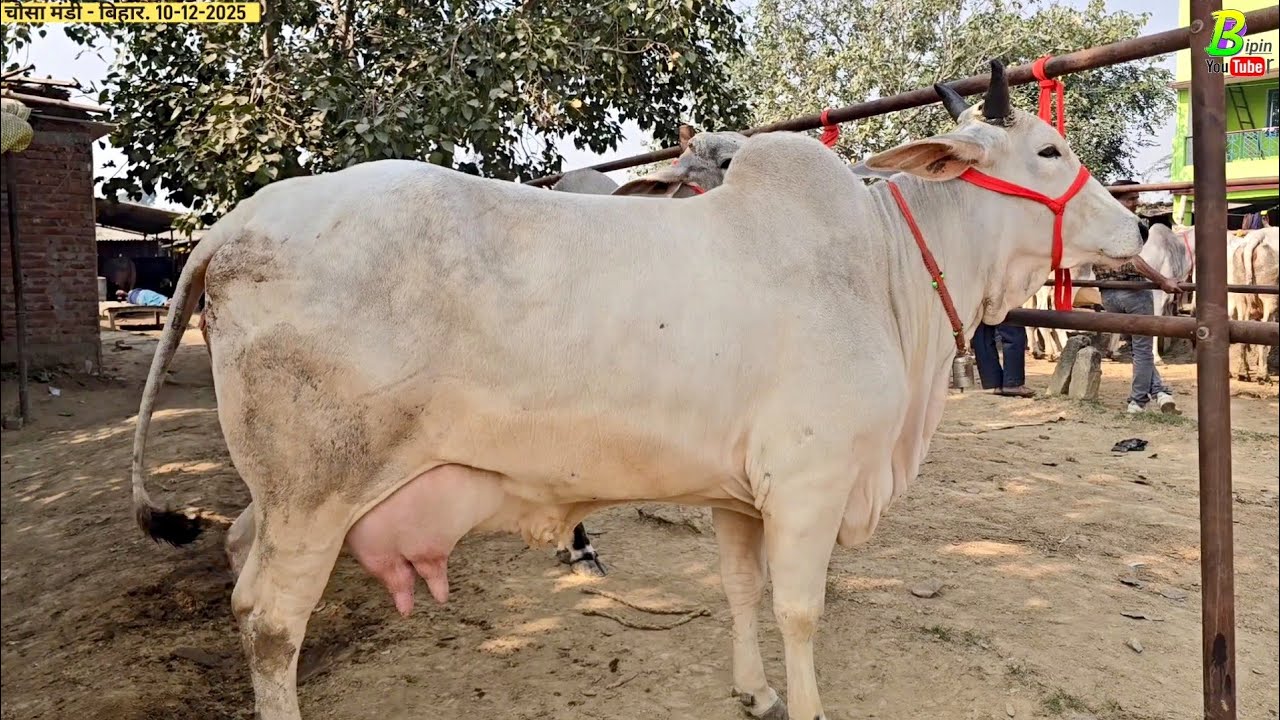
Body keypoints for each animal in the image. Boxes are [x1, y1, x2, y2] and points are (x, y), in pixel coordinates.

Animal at [129, 60, 1144, 720]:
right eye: (1049, 151)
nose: (1136, 228)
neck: (881, 264)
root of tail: (235, 224)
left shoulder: (740, 494)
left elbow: (739, 590)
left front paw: (755, 690)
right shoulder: (809, 485)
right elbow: (798, 608)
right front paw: (803, 702)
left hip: (289, 493)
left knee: (240, 560)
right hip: (317, 491)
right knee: (269, 621)